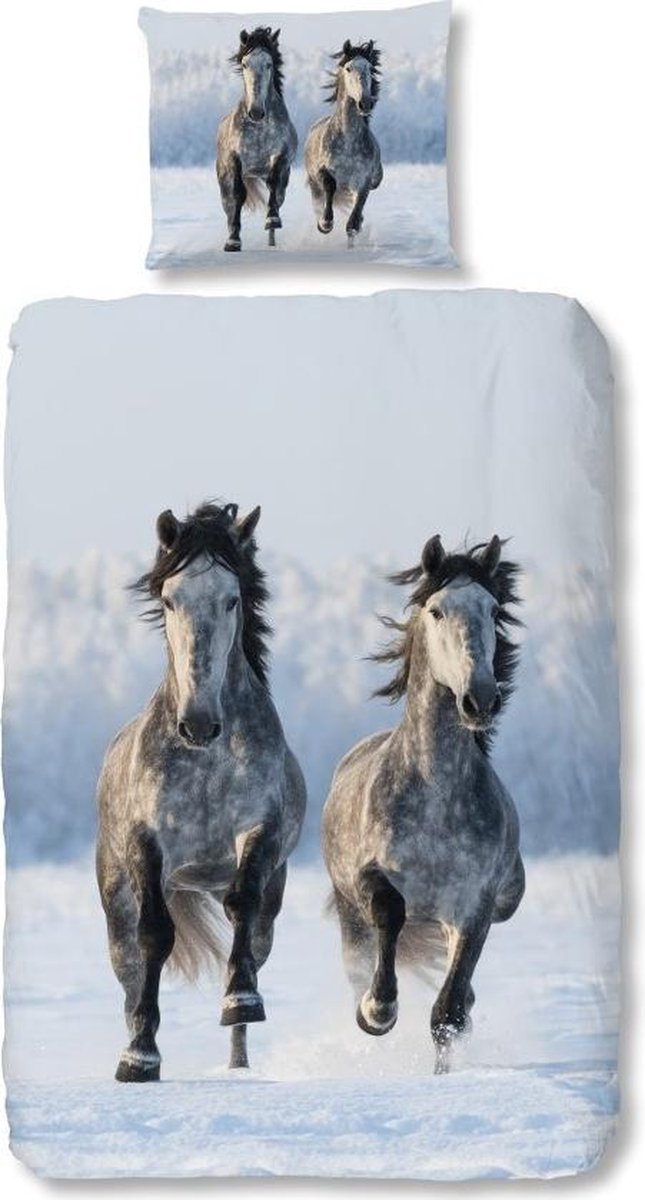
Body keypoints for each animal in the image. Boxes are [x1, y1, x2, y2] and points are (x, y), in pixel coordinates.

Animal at [96, 501, 306, 1080]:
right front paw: (140, 1058)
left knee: (252, 938)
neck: (206, 760)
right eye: (170, 599)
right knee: (128, 968)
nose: (198, 724)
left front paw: (241, 1000)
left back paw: (238, 1062)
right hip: (117, 897)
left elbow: (242, 904)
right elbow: (154, 937)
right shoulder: (147, 845)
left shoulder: (260, 832)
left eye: (232, 599)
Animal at [216, 27, 297, 252]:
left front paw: (272, 220)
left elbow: (274, 186)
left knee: (276, 195)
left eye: (269, 64)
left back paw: (271, 239)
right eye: (245, 64)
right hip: (224, 179)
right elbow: (237, 195)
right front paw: (233, 242)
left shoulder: (281, 156)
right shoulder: (234, 159)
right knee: (229, 205)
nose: (256, 112)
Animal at [304, 39, 383, 248]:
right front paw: (326, 222)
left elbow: (353, 222)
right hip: (314, 185)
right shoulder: (323, 172)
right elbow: (330, 186)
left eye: (369, 67)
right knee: (319, 201)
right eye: (348, 68)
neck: (348, 142)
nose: (365, 103)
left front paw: (354, 230)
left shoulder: (364, 181)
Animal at [322, 535, 525, 1074]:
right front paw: (378, 1009)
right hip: (350, 916)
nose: (481, 699)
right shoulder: (370, 877)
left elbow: (448, 1012)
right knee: (363, 960)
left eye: (493, 609)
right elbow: (391, 912)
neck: (436, 800)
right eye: (436, 610)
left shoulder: (474, 906)